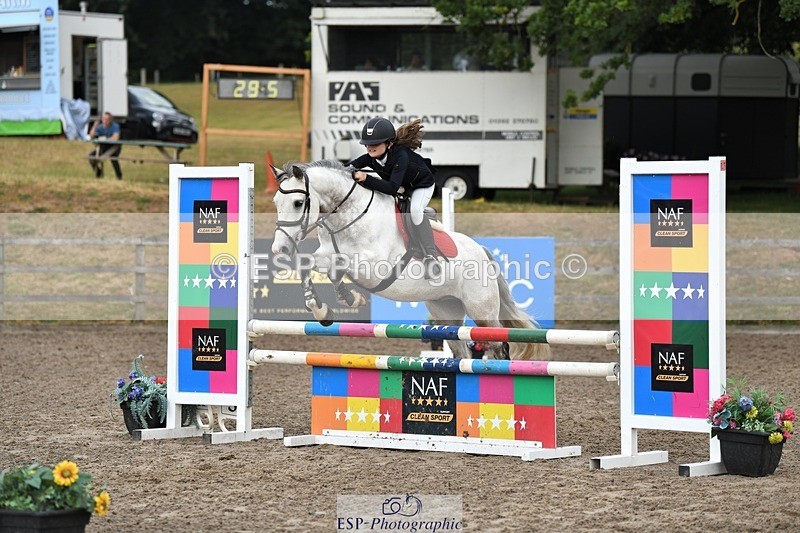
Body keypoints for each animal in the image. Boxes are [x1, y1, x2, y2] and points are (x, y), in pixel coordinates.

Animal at [270, 160, 550, 361]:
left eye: (298, 202)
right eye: (275, 202)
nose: (280, 248)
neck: (349, 215)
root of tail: (482, 251)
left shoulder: (371, 266)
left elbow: (338, 267)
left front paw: (347, 298)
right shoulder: (326, 253)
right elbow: (307, 264)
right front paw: (325, 308)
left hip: (483, 312)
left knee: (499, 345)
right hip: (446, 311)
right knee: (461, 350)